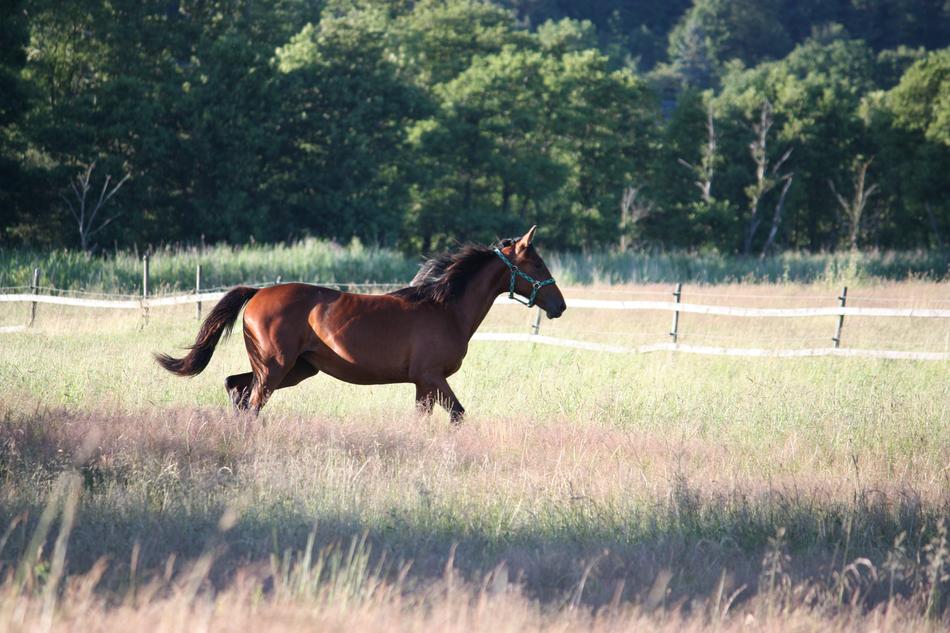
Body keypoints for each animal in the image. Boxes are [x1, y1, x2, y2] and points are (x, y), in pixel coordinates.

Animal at [154, 226, 566, 422]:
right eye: (537, 264)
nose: (559, 305)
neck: (446, 308)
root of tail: (257, 293)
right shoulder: (432, 377)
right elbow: (458, 415)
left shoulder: (422, 384)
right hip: (275, 368)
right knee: (252, 401)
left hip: (296, 369)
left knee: (236, 387)